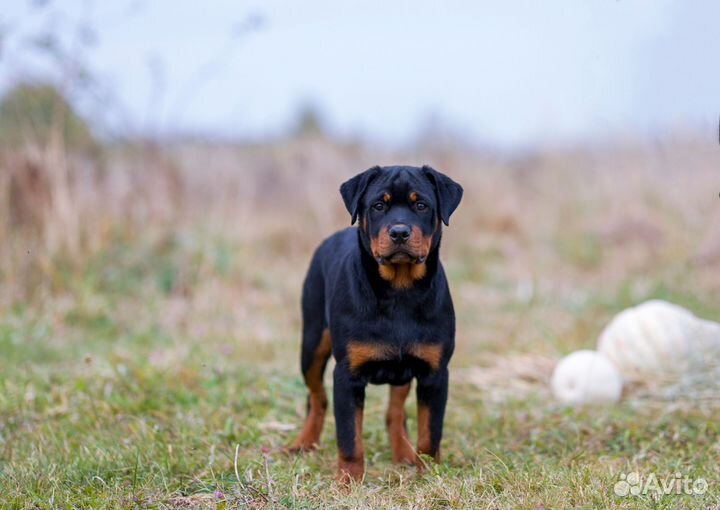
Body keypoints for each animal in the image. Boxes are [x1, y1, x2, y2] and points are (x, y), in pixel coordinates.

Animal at [290, 164, 464, 482]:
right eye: (378, 206)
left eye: (421, 205)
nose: (399, 232)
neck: (400, 291)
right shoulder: (347, 375)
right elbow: (349, 438)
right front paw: (347, 481)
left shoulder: (435, 373)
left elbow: (430, 432)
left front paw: (427, 474)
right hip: (312, 343)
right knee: (317, 397)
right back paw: (303, 444)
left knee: (395, 413)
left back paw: (404, 454)